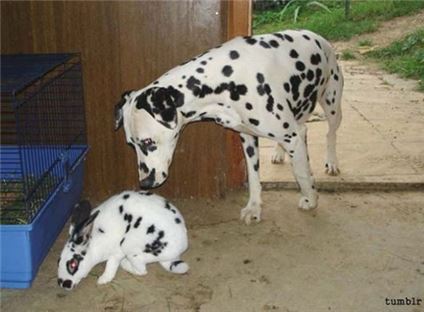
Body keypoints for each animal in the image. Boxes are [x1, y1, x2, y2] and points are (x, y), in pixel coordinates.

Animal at [114, 29, 342, 224]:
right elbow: (254, 177)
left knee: (330, 134)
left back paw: (332, 163)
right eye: (131, 144)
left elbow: (301, 173)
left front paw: (311, 198)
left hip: (332, 107)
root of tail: (319, 37)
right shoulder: (248, 138)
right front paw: (254, 208)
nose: (145, 183)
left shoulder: (290, 137)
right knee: (303, 131)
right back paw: (280, 153)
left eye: (148, 142)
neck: (223, 79)